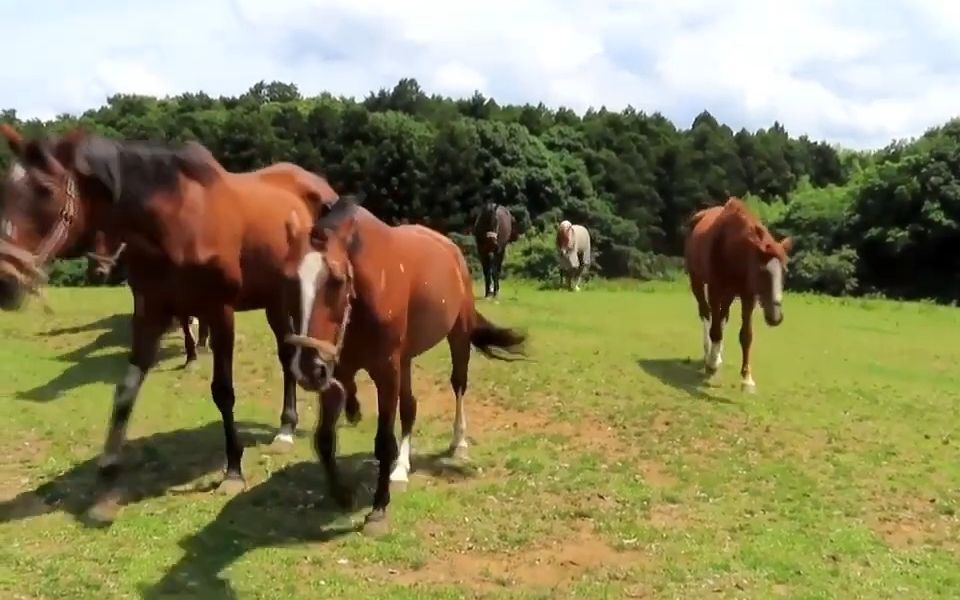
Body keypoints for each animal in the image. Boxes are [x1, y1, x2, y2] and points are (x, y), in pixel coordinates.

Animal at [286, 196, 524, 536]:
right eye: (291, 280)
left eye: (338, 280)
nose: (307, 368)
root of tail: (452, 251)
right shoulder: (338, 372)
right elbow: (325, 439)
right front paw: (342, 495)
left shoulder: (386, 371)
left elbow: (384, 441)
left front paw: (377, 509)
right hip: (405, 360)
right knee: (410, 406)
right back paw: (401, 469)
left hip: (458, 336)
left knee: (459, 384)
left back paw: (458, 442)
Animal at [684, 197, 796, 394]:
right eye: (762, 271)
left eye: (784, 271)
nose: (776, 317)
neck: (730, 247)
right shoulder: (715, 290)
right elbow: (715, 329)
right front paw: (711, 364)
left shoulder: (748, 296)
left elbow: (746, 335)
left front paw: (747, 379)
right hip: (697, 281)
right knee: (706, 314)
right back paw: (709, 354)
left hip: (729, 294)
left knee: (722, 317)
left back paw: (717, 355)